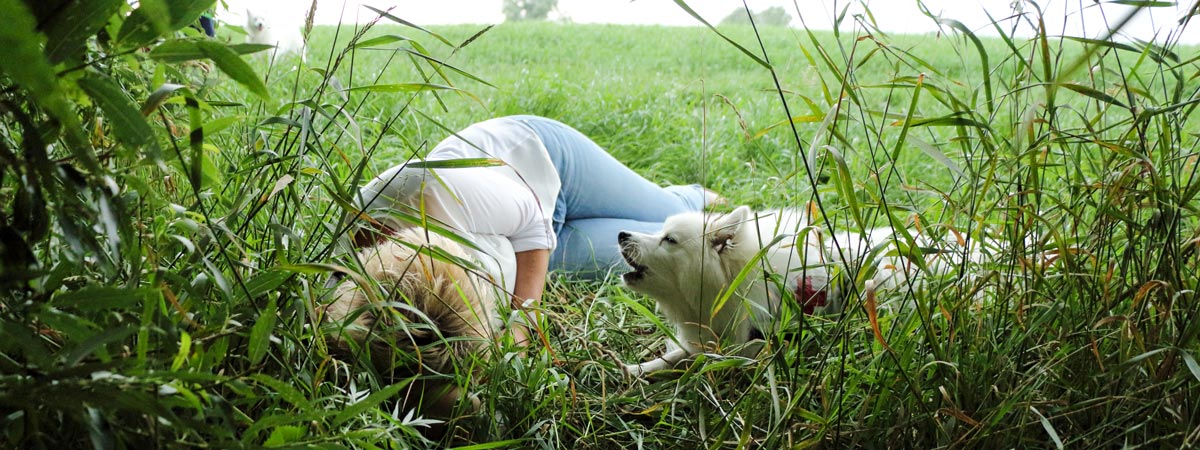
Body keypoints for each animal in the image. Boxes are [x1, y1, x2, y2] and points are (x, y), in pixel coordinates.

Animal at [619, 206, 984, 374]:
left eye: (669, 240)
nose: (622, 234)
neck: (735, 280)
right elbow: (678, 355)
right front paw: (636, 369)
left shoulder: (755, 348)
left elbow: (701, 359)